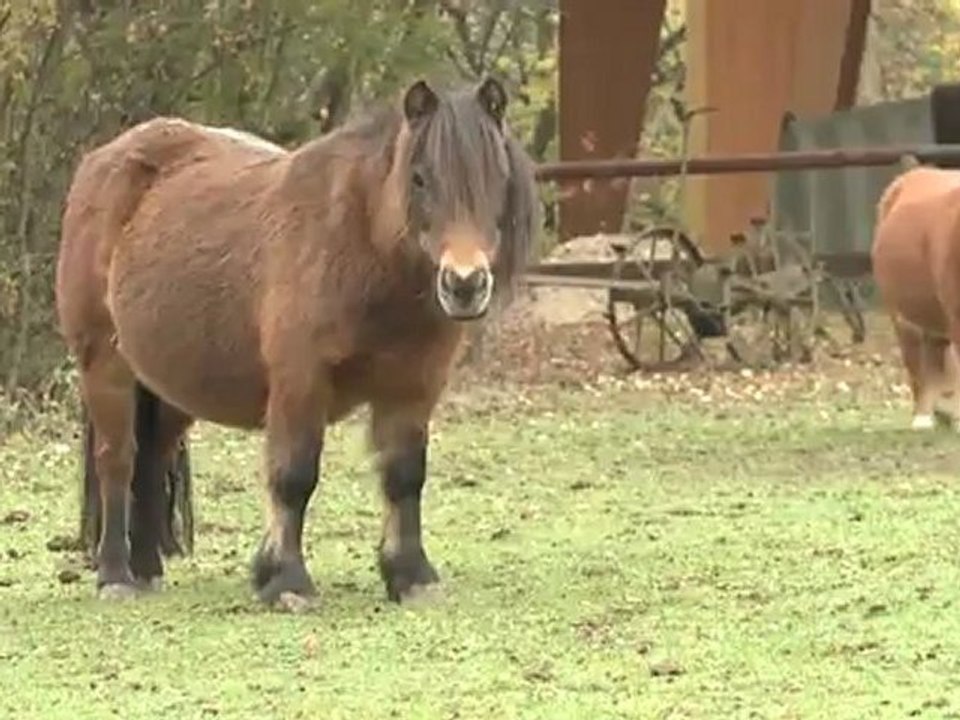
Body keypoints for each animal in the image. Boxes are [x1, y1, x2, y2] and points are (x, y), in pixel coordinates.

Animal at [55, 77, 538, 608]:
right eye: (419, 178)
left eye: (497, 175)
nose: (465, 284)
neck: (357, 245)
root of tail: (103, 161)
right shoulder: (300, 381)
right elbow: (294, 475)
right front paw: (286, 580)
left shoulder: (413, 387)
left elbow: (405, 475)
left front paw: (411, 576)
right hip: (106, 366)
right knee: (117, 461)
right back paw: (115, 575)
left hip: (168, 385)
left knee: (151, 459)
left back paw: (146, 569)